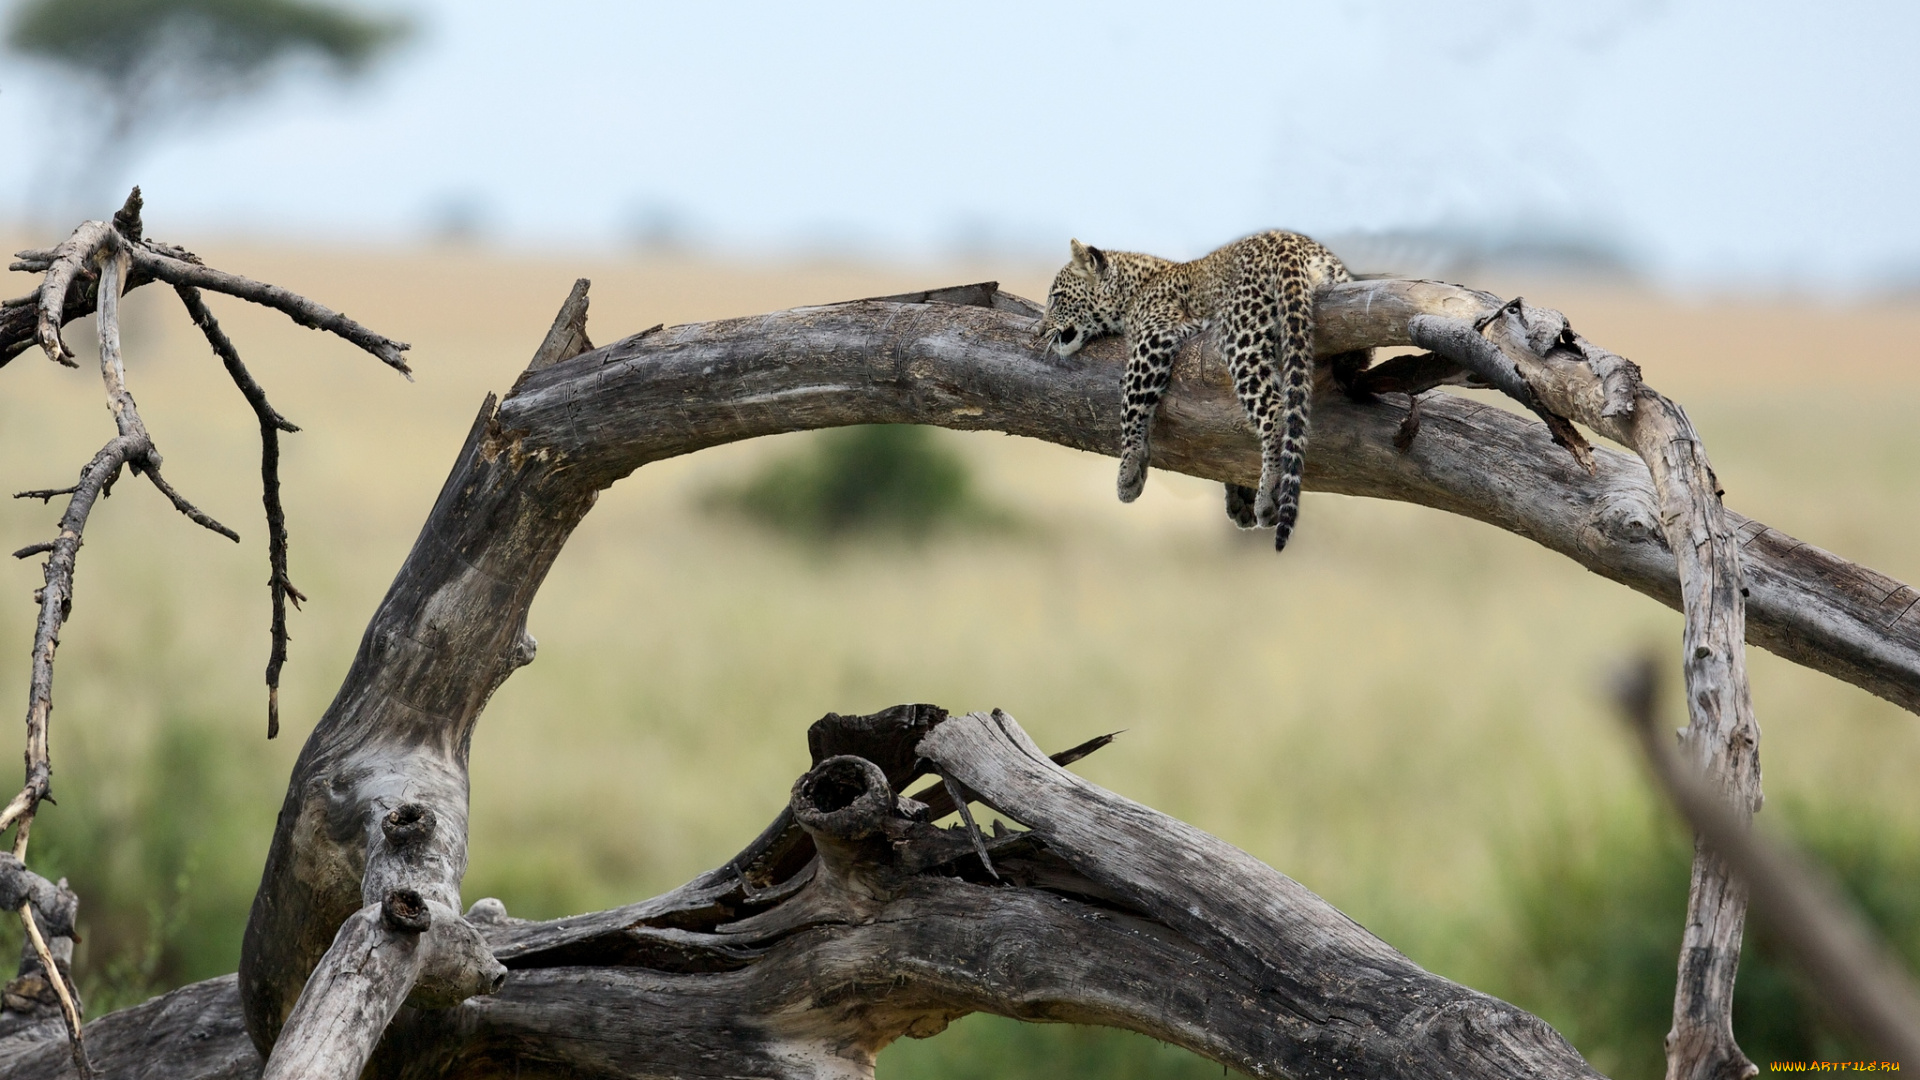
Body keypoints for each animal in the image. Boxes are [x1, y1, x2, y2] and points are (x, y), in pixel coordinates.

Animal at [1044, 226, 1359, 545]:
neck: (1133, 288)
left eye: (1056, 298)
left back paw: (1268, 492)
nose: (1041, 329)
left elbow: (1131, 402)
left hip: (1241, 335)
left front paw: (1128, 472)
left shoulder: (1156, 336)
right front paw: (1239, 497)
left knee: (1274, 411)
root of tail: (1290, 242)